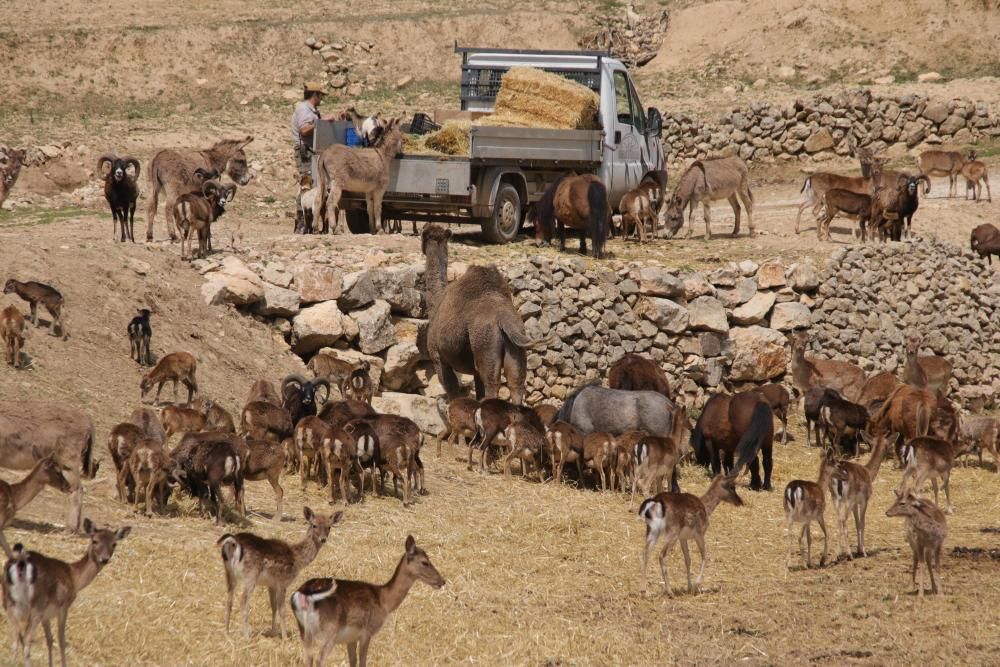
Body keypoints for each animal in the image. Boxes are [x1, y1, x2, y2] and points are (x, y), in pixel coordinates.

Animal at [426, 224, 544, 404]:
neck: (437, 299)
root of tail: (504, 321)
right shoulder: (473, 370)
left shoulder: (438, 358)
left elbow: (452, 391)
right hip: (515, 346)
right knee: (516, 384)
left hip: (485, 343)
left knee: (492, 385)